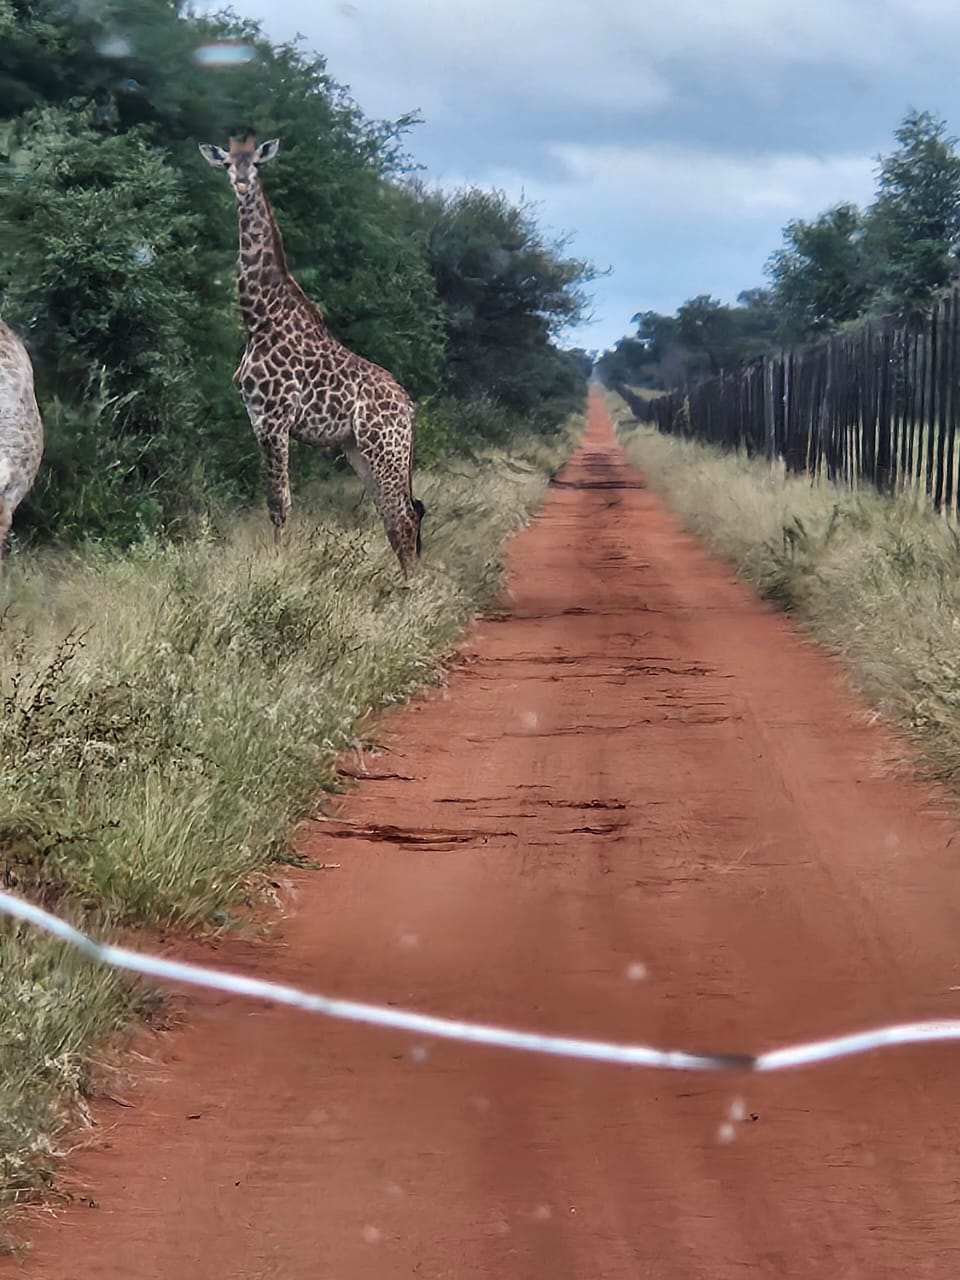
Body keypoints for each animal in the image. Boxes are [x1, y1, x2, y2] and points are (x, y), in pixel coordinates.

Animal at [198, 134, 425, 575]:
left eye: (255, 164)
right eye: (227, 163)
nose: (241, 183)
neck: (259, 317)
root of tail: (408, 407)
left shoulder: (275, 419)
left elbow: (280, 503)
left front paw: (278, 569)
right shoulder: (256, 418)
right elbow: (274, 501)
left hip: (385, 447)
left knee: (405, 515)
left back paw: (412, 590)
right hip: (359, 448)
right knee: (394, 513)